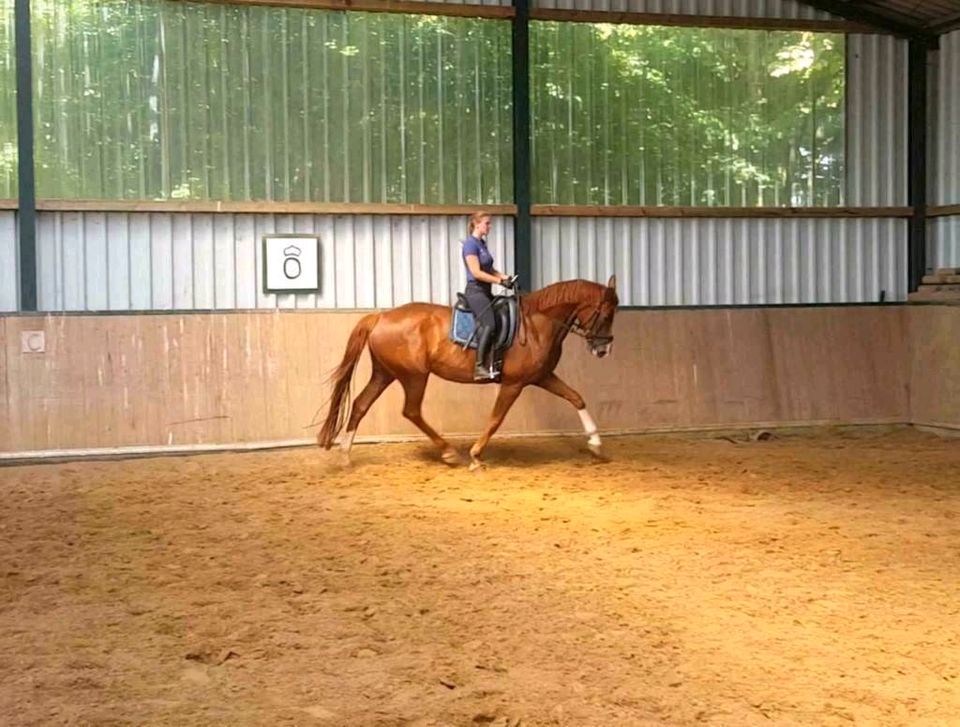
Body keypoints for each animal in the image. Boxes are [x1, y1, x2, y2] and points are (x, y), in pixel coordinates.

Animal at [318, 276, 620, 470]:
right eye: (605, 314)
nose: (603, 349)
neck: (537, 324)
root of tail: (381, 316)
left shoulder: (541, 377)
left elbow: (576, 398)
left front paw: (596, 445)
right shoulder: (514, 383)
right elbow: (496, 418)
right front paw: (475, 454)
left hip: (385, 373)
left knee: (361, 404)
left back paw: (345, 455)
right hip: (414, 376)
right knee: (411, 411)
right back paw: (449, 453)